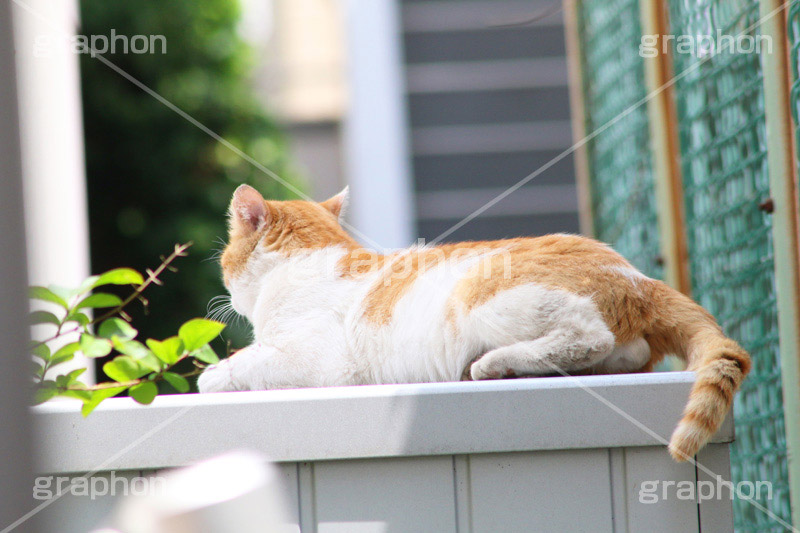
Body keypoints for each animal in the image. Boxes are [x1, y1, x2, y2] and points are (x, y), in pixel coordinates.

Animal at [198, 185, 752, 460]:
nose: (226, 290)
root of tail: (637, 277)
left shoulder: (319, 360)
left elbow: (246, 363)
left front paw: (213, 376)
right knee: (627, 354)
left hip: (481, 298)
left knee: (587, 338)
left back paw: (492, 365)